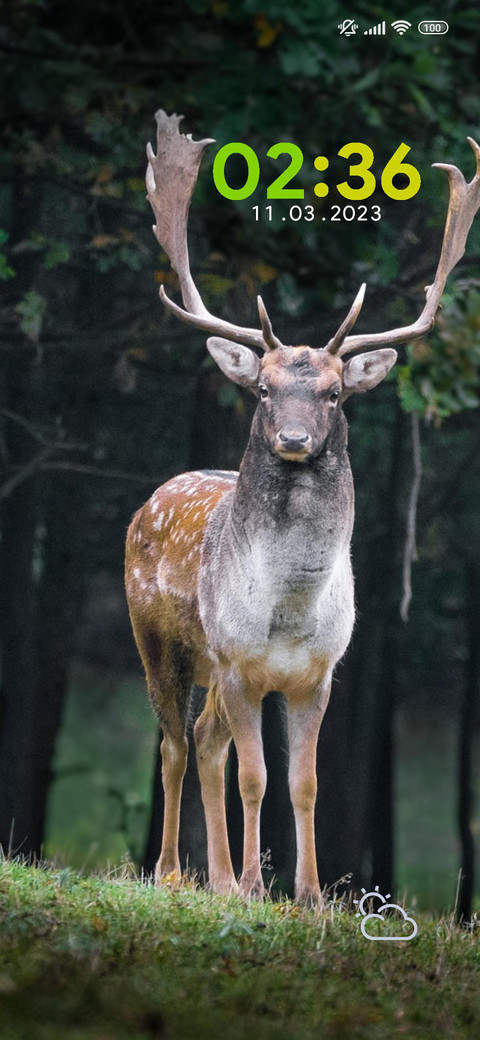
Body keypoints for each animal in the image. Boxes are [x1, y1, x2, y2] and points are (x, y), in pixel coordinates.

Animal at [125, 111, 480, 904]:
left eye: (334, 393)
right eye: (262, 389)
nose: (292, 438)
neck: (288, 612)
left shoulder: (318, 674)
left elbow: (306, 783)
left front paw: (310, 895)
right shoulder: (237, 663)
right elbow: (257, 778)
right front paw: (259, 887)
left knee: (203, 743)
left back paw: (218, 878)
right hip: (159, 641)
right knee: (173, 744)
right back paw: (174, 873)